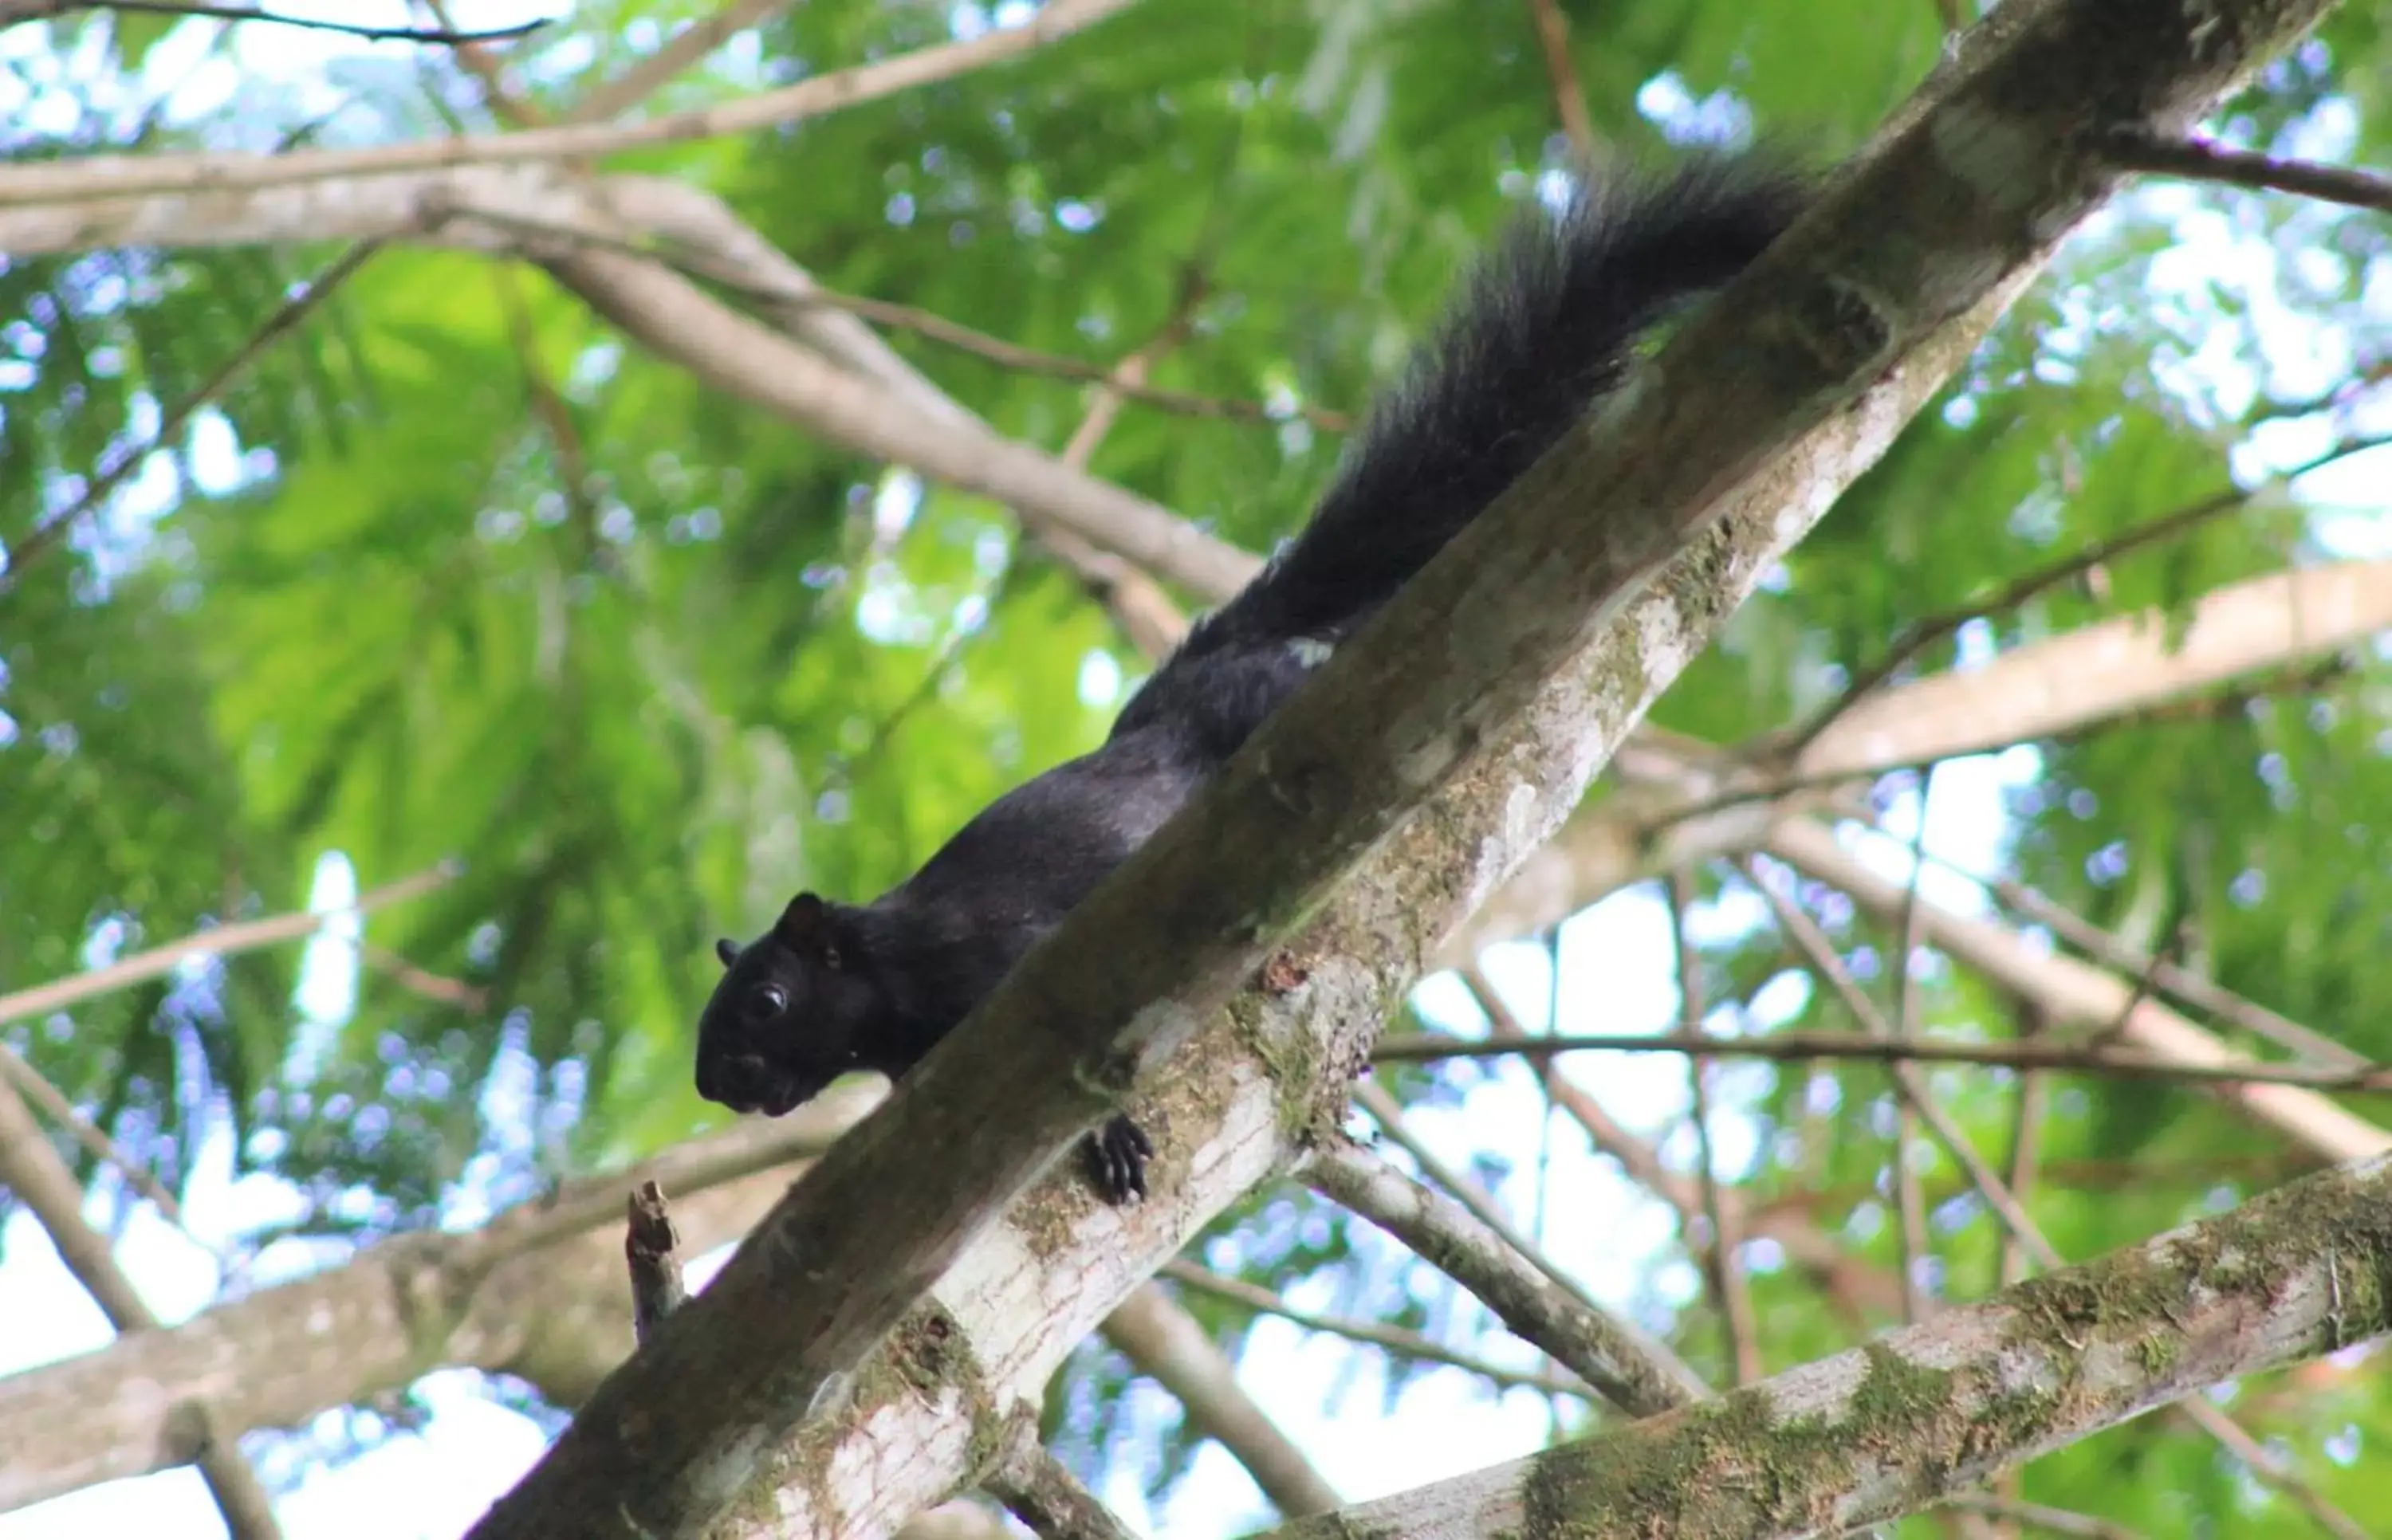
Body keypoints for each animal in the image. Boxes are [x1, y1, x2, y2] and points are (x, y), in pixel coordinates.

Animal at [698, 153, 1799, 1205]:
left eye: (769, 999)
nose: (720, 1084)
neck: (889, 978)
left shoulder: (997, 967)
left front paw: (1111, 1139)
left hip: (1265, 711)